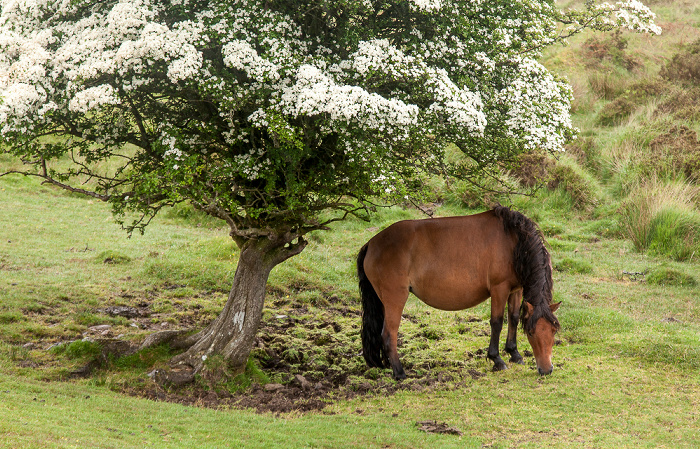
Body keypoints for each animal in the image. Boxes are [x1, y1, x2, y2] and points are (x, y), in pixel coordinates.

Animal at [358, 206, 560, 378]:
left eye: (553, 331)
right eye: (531, 333)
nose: (546, 369)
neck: (513, 240)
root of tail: (371, 243)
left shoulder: (515, 290)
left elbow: (514, 318)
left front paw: (514, 353)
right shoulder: (499, 289)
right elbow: (496, 322)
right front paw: (497, 359)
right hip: (395, 299)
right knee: (389, 334)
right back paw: (399, 372)